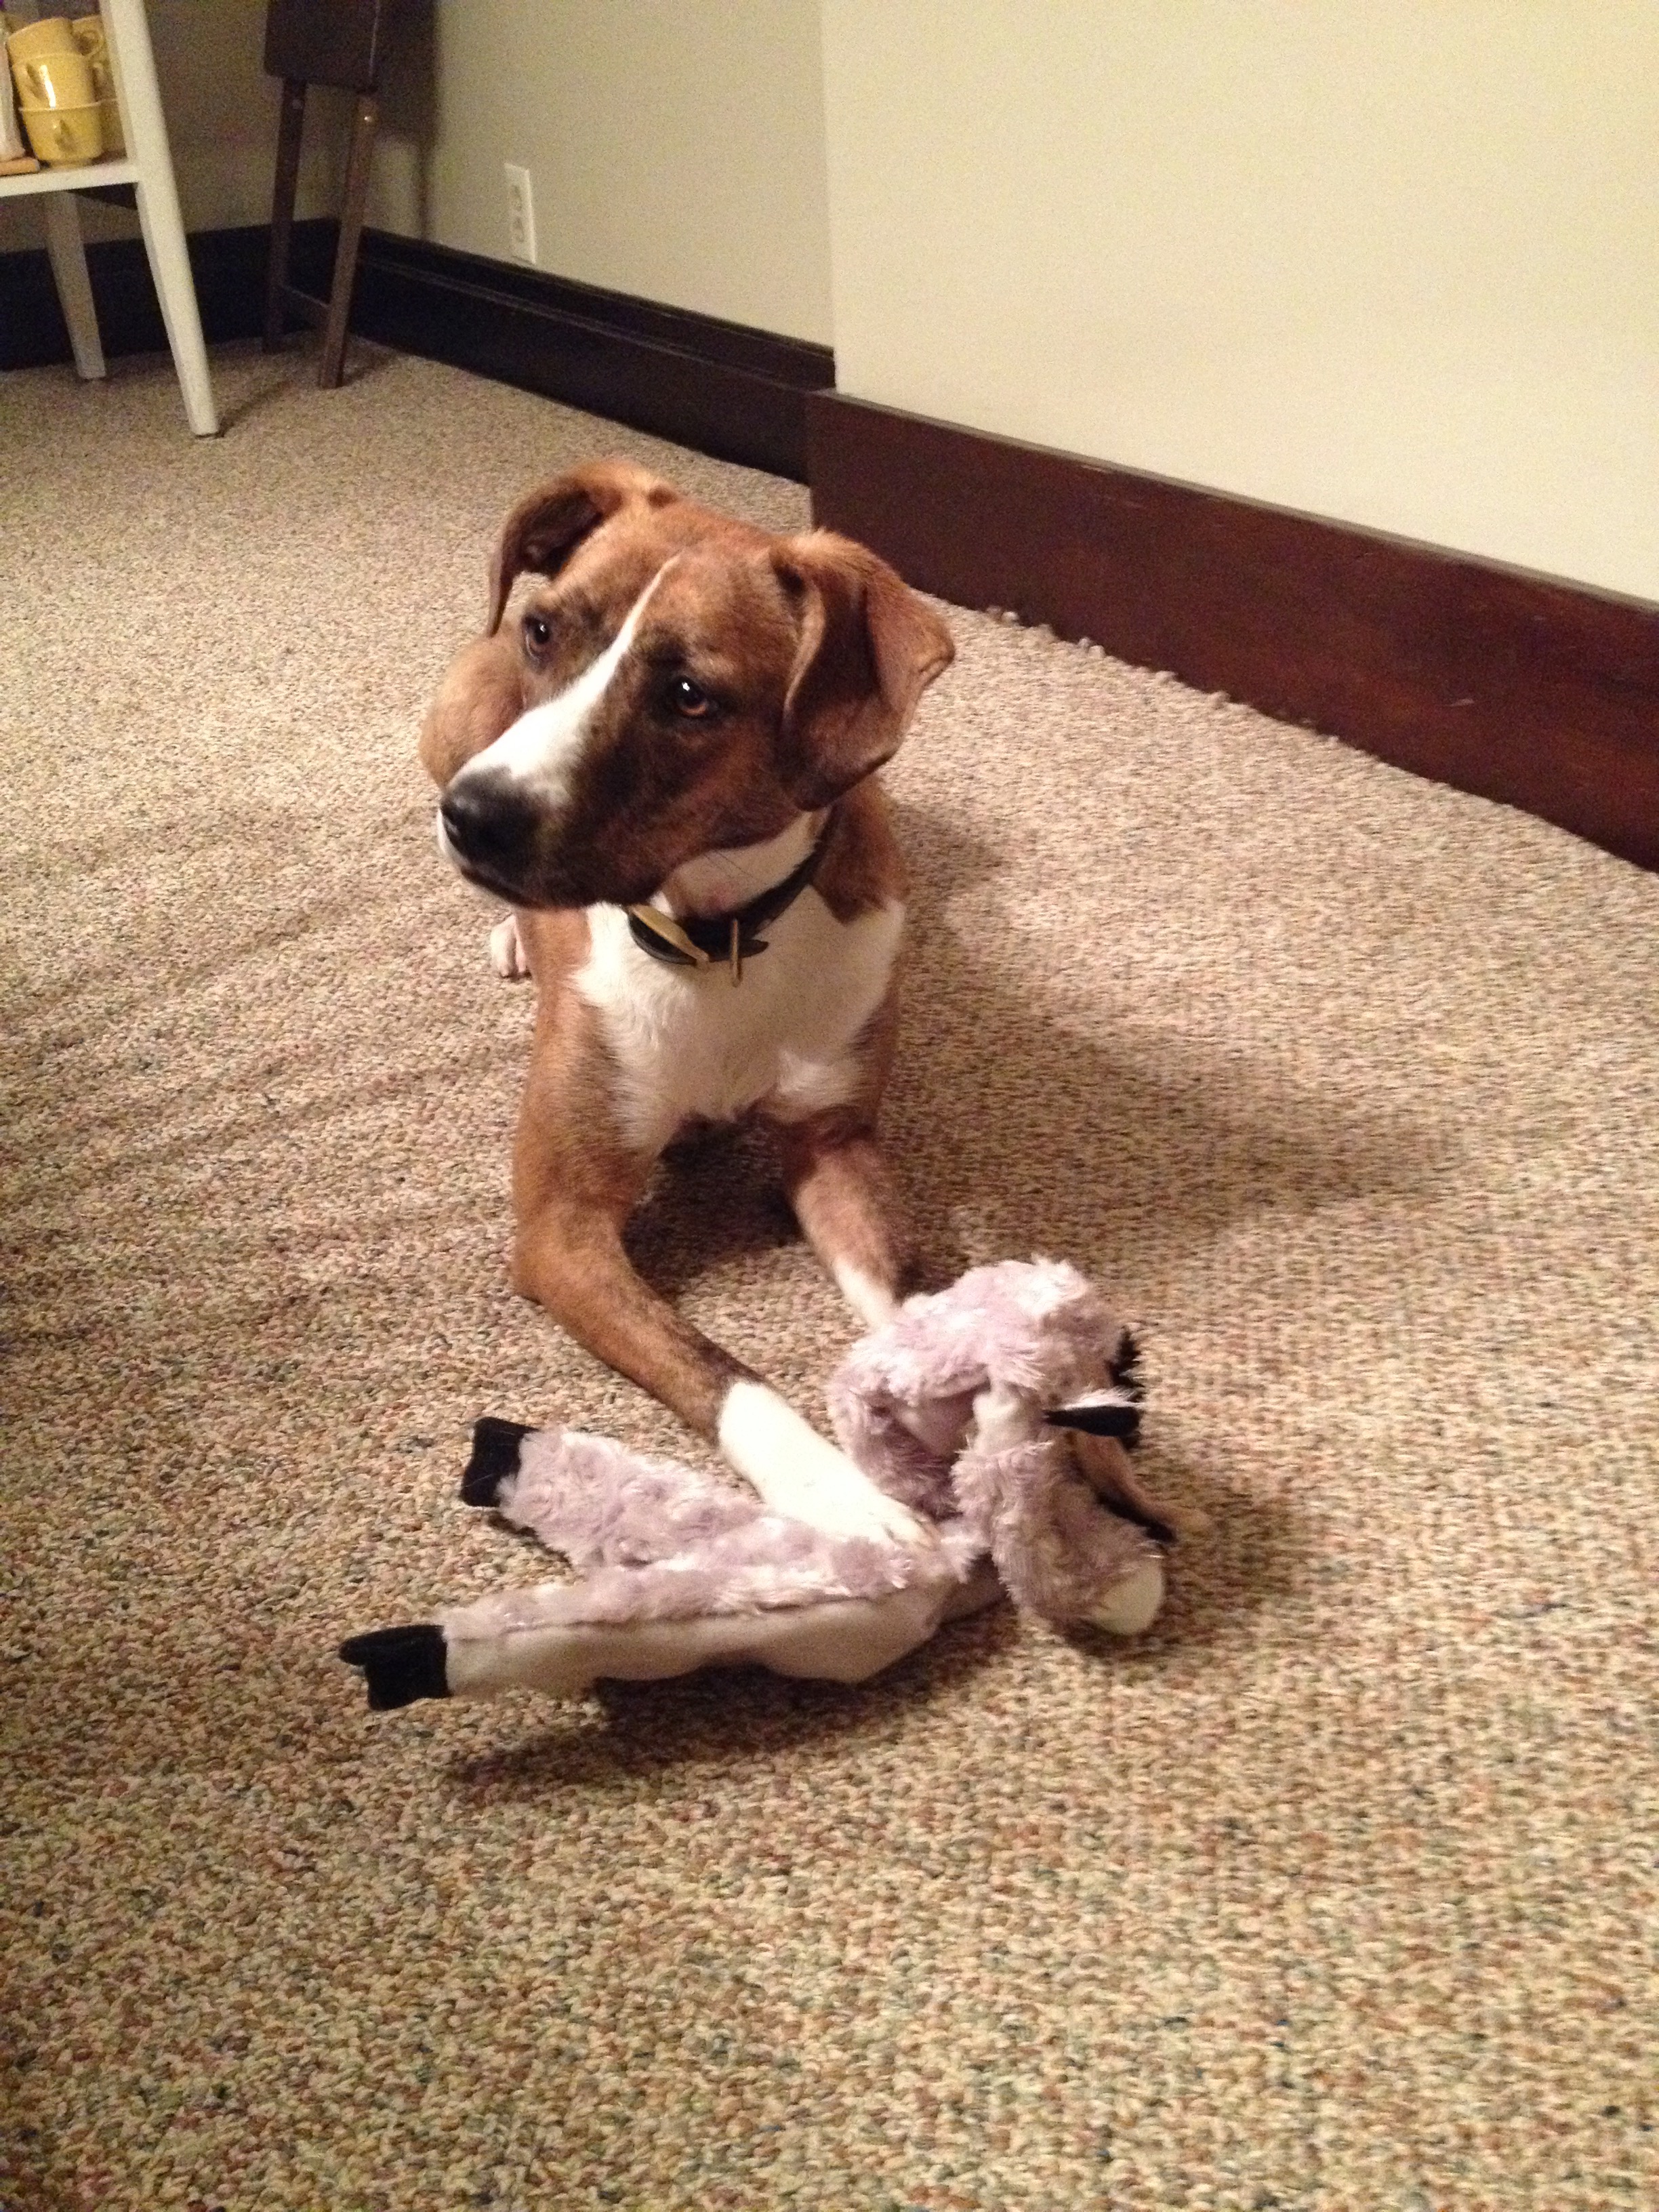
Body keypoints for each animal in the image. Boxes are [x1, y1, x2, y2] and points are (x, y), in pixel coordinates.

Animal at [422, 457, 956, 1548]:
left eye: (687, 695)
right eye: (547, 631)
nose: (474, 817)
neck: (718, 938)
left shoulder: (834, 1142)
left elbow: (917, 1296)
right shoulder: (563, 1227)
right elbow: (723, 1371)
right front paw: (841, 1494)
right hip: (448, 725)